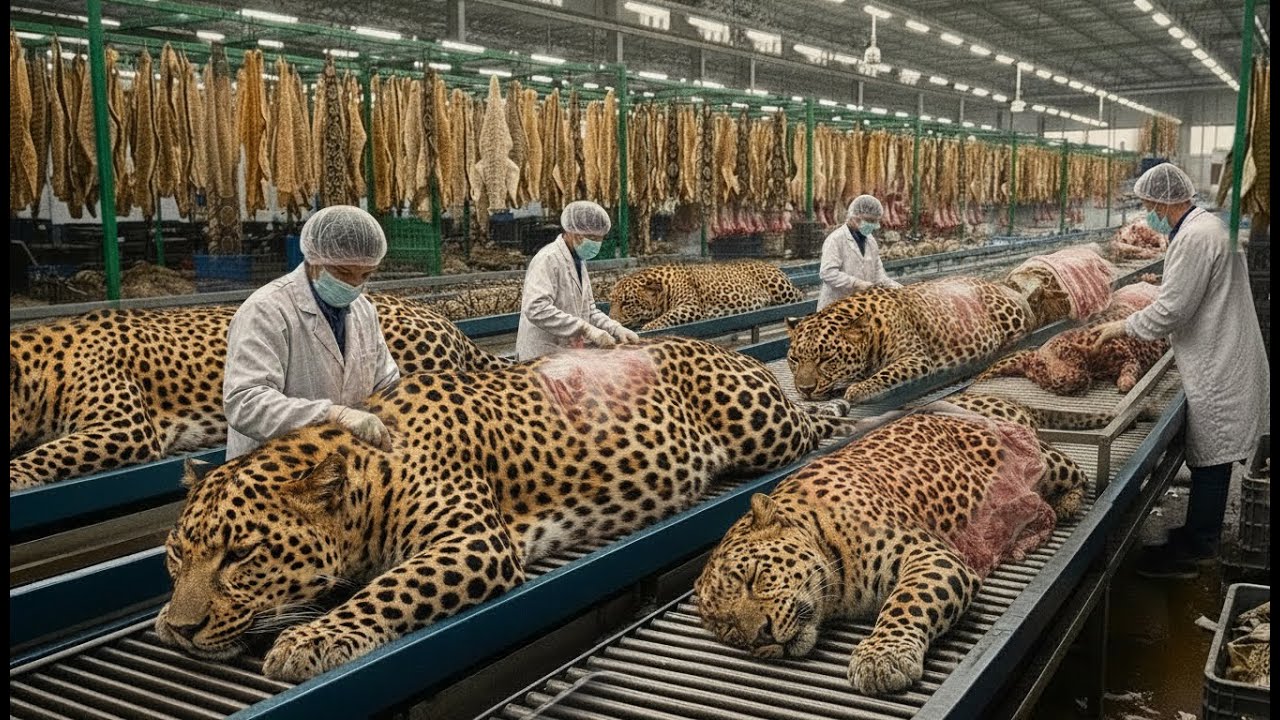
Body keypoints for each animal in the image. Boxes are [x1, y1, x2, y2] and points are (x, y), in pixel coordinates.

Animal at [154, 337, 855, 682]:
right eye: (175, 556)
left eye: (241, 555)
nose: (181, 632)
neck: (366, 476)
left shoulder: (474, 540)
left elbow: (392, 589)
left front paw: (313, 638)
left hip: (764, 430)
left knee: (804, 424)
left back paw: (836, 409)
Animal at [609, 260, 805, 331]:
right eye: (611, 302)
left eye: (626, 303)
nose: (611, 318)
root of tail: (772, 265)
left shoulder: (691, 306)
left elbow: (667, 316)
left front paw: (648, 326)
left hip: (781, 290)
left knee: (800, 297)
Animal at [694, 393, 1088, 697]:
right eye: (727, 628)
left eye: (753, 577)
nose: (760, 636)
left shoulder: (928, 554)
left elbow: (908, 601)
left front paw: (881, 657)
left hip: (1043, 459)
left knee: (1076, 472)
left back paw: (1062, 506)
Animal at [785, 277, 1033, 408]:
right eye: (795, 360)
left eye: (826, 359)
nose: (805, 390)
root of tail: (999, 284)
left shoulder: (916, 358)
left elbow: (888, 373)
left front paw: (859, 389)